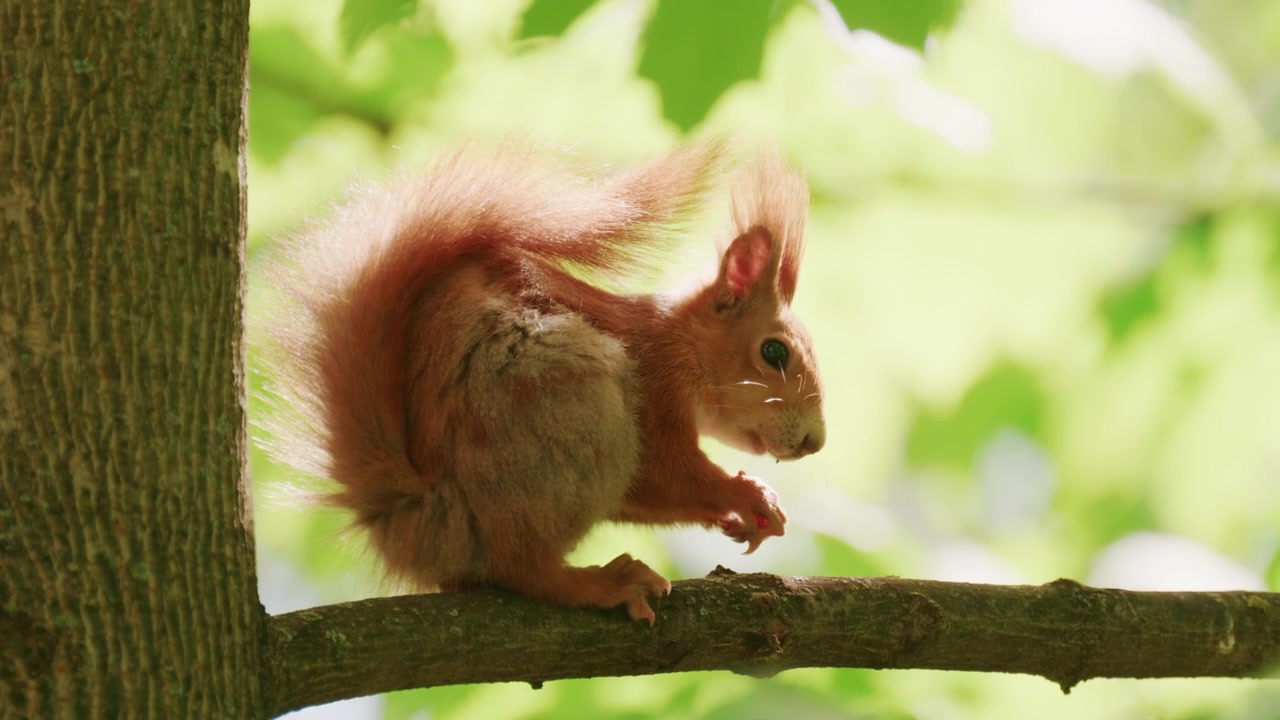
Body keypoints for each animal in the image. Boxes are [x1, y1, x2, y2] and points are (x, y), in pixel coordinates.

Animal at [261, 141, 825, 623]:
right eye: (774, 352)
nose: (815, 442)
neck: (677, 344)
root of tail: (420, 523)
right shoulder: (655, 387)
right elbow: (664, 473)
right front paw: (745, 494)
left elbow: (645, 496)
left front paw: (741, 517)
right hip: (570, 401)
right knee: (519, 566)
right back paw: (599, 583)